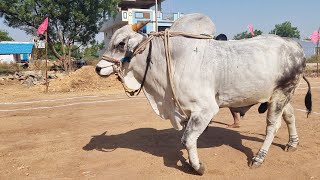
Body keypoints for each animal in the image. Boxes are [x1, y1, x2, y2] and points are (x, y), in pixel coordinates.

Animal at [94, 21, 310, 175]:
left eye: (121, 44)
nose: (98, 68)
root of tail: (294, 44)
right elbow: (187, 138)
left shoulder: (205, 109)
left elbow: (188, 139)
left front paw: (197, 167)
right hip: (280, 95)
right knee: (289, 116)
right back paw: (292, 143)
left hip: (282, 93)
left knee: (272, 126)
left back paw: (259, 158)